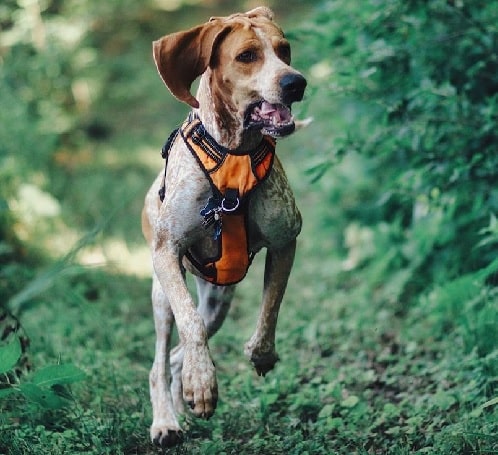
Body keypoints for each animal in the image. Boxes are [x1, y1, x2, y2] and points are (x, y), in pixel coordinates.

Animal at [141, 6, 308, 448]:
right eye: (247, 56)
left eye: (284, 49)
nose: (296, 82)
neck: (234, 155)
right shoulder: (167, 253)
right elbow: (190, 323)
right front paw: (201, 382)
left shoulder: (286, 241)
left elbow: (271, 307)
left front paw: (261, 354)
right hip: (161, 295)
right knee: (162, 360)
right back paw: (166, 419)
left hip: (218, 300)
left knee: (177, 356)